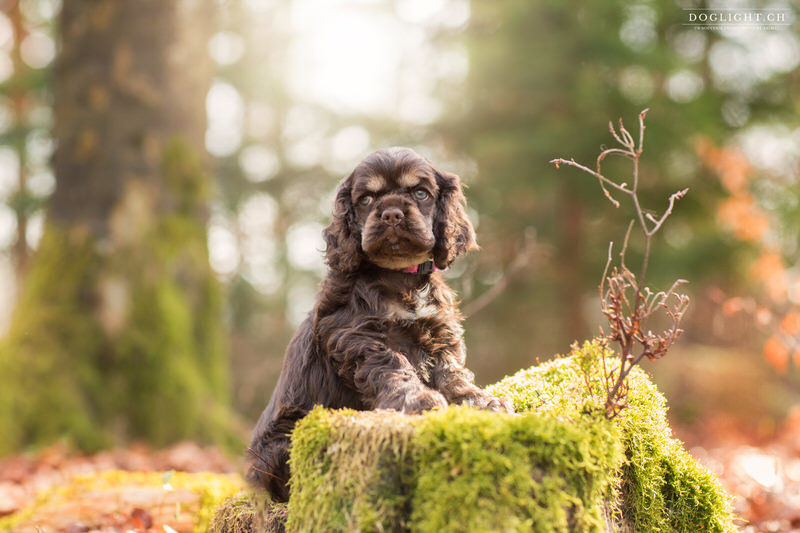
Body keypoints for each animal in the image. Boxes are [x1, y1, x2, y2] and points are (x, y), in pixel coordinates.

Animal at [248, 148, 512, 500]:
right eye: (366, 199)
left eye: (420, 193)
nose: (391, 215)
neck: (400, 276)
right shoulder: (357, 335)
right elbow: (393, 366)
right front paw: (417, 400)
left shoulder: (439, 334)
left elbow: (452, 373)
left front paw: (480, 400)